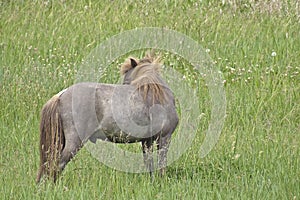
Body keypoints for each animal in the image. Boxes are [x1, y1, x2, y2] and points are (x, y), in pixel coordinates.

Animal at [36, 54, 179, 182]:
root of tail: (61, 95)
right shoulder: (164, 137)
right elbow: (161, 163)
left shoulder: (147, 141)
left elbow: (149, 163)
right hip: (74, 141)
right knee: (58, 165)